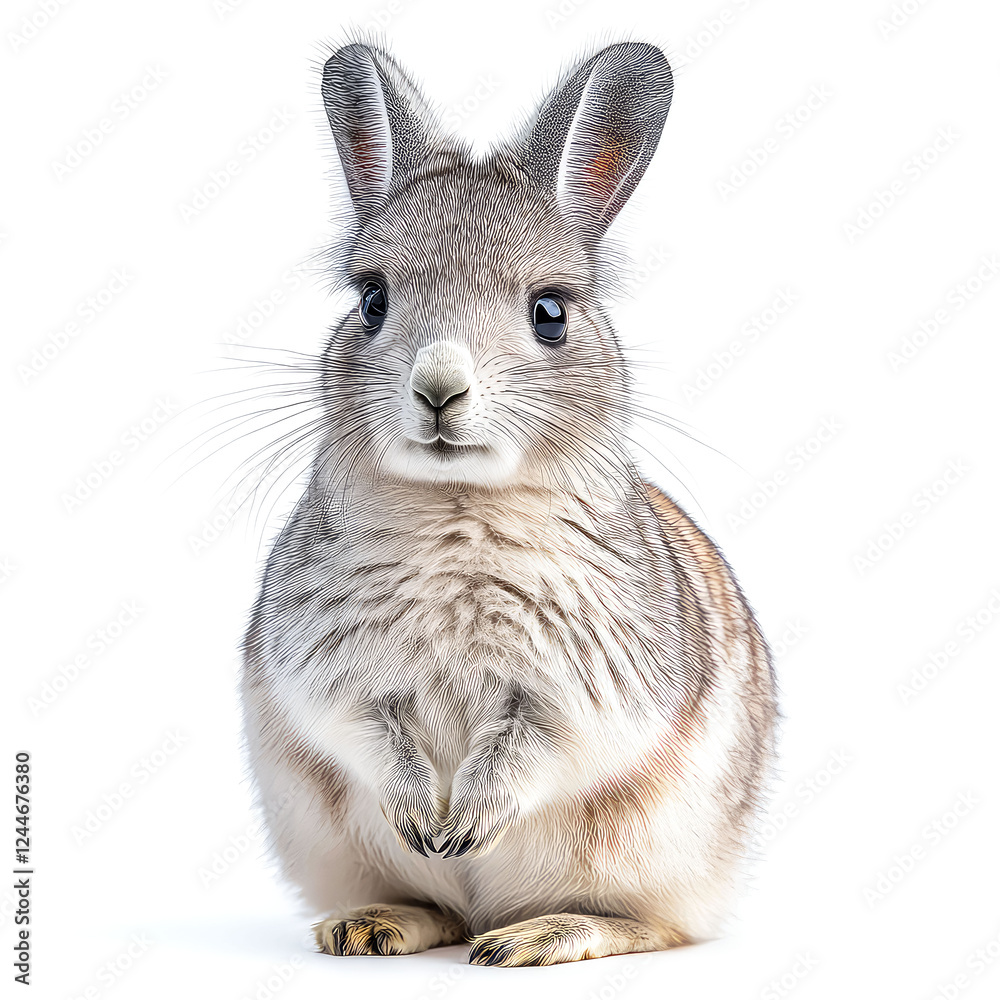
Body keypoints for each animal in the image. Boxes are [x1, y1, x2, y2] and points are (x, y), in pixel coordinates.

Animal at [239, 37, 777, 967]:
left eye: (549, 312)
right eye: (373, 300)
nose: (438, 389)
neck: (459, 507)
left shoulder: (581, 696)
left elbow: (530, 753)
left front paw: (465, 827)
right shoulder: (330, 678)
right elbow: (372, 738)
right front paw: (431, 825)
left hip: (660, 856)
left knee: (652, 926)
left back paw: (536, 936)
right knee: (441, 907)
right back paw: (372, 925)